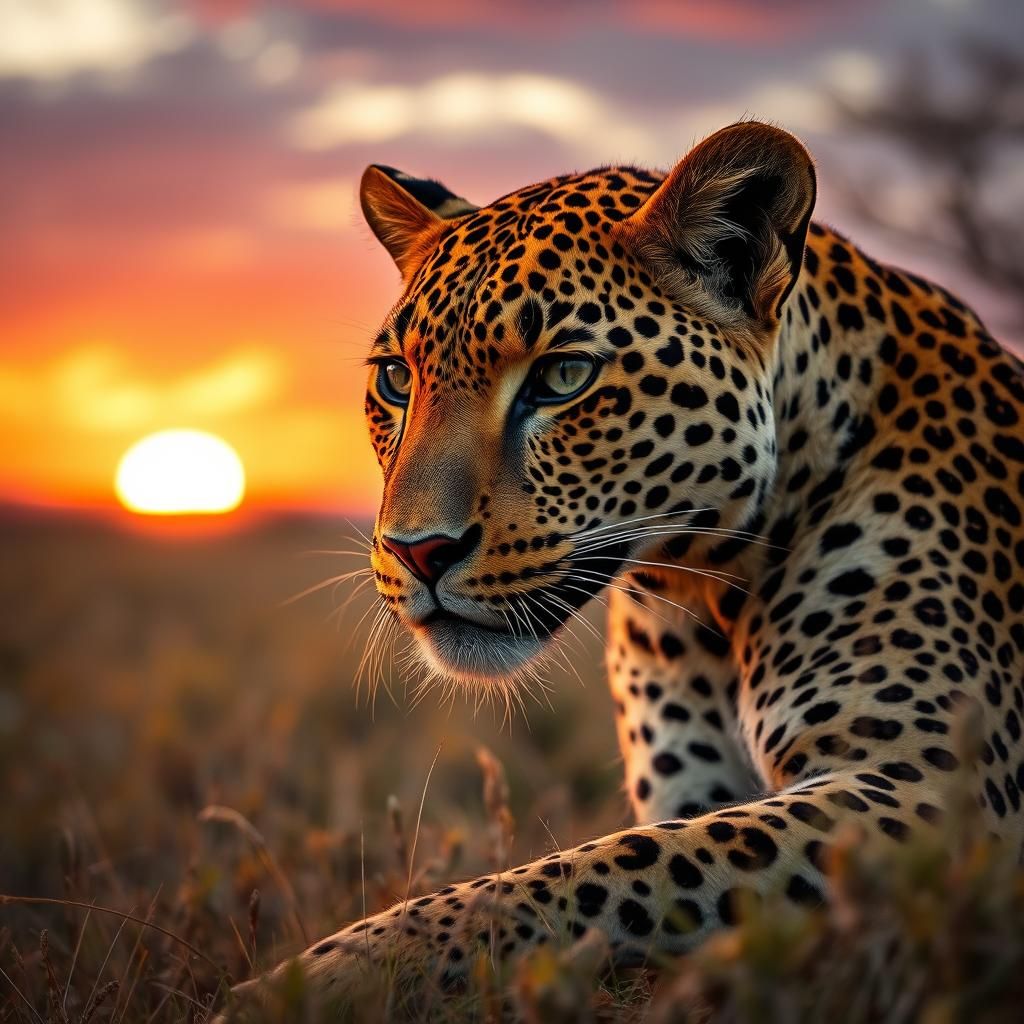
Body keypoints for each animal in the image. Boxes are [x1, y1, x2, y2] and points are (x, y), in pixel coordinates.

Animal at [230, 121, 1024, 1014]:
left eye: (563, 376)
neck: (705, 588)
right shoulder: (697, 789)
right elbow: (625, 871)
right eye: (397, 379)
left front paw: (331, 974)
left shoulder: (929, 786)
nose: (415, 550)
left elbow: (586, 871)